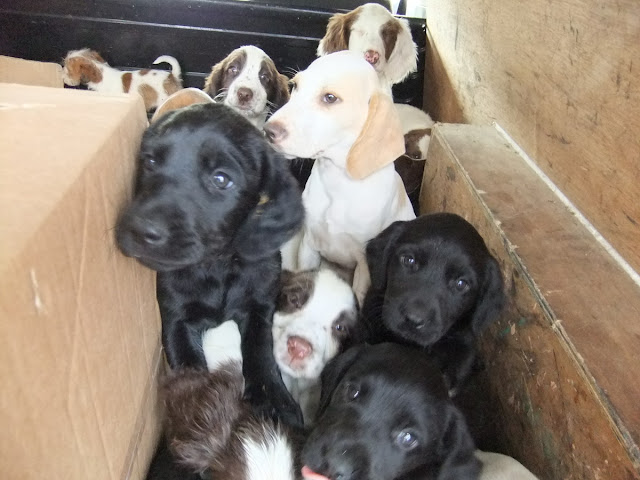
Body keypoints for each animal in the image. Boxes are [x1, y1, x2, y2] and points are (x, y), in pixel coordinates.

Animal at [115, 100, 305, 427]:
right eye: (150, 161)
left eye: (221, 179)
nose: (141, 230)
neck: (215, 265)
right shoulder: (175, 317)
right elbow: (189, 366)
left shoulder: (259, 307)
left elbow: (260, 351)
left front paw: (274, 399)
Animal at [264, 51, 415, 305]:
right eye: (295, 86)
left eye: (330, 98)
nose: (268, 131)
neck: (337, 183)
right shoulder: (309, 247)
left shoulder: (364, 266)